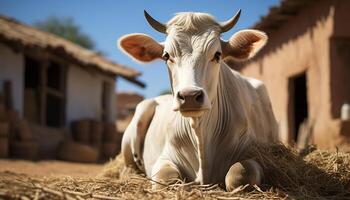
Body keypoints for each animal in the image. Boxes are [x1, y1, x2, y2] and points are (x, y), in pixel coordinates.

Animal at [119, 10, 278, 191]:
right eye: (166, 56)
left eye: (217, 54)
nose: (189, 96)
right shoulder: (164, 158)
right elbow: (167, 179)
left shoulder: (254, 153)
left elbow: (239, 174)